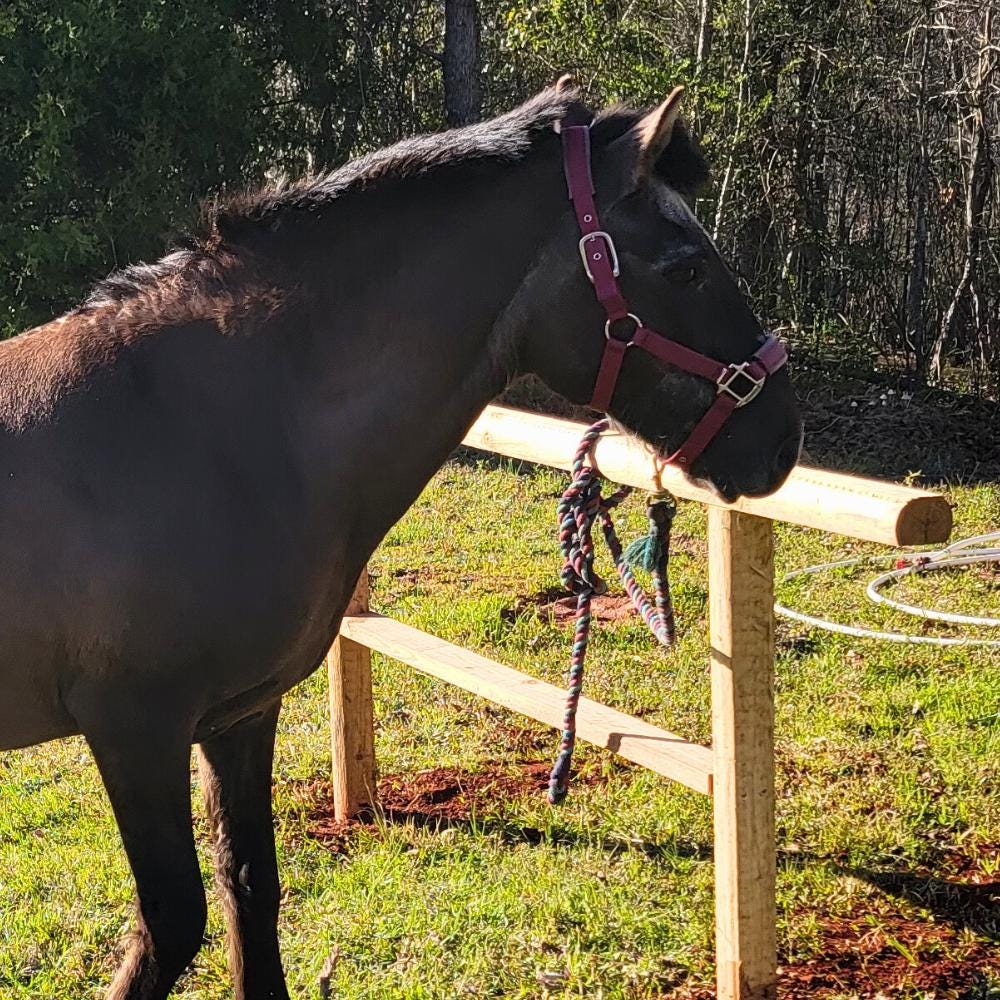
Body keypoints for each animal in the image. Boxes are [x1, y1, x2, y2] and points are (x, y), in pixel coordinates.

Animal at [0, 80, 801, 999]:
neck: (203, 428)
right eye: (686, 267)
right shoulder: (136, 729)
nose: (782, 441)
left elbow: (251, 889)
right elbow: (169, 924)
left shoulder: (238, 718)